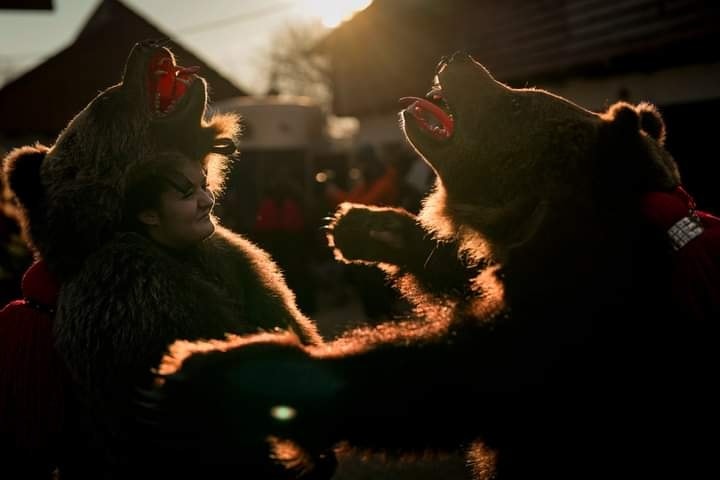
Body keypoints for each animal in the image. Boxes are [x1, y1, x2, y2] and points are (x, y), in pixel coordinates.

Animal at [138, 52, 718, 479]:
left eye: (519, 100)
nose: (459, 59)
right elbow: (464, 282)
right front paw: (364, 225)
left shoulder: (579, 323)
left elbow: (442, 375)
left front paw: (214, 367)